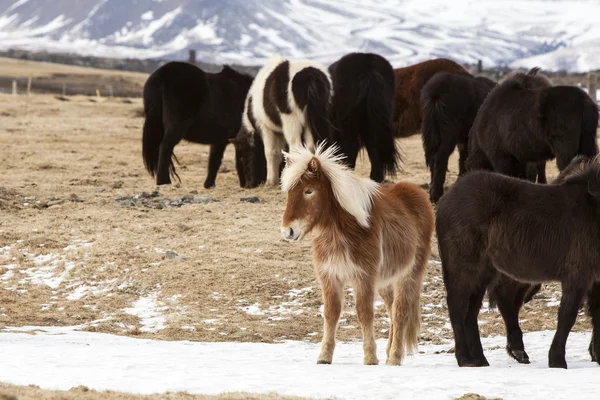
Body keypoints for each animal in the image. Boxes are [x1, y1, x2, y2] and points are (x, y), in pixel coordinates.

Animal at [142, 61, 253, 189]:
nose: (253, 184)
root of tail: (162, 75)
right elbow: (239, 159)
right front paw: (244, 184)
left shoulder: (220, 140)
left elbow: (214, 160)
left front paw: (209, 184)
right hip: (176, 127)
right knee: (165, 147)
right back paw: (164, 181)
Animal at [232, 55, 332, 188]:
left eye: (244, 157)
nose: (247, 185)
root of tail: (308, 75)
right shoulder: (279, 133)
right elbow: (279, 154)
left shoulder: (266, 128)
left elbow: (270, 153)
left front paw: (270, 181)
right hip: (312, 123)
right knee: (312, 147)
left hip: (292, 123)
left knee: (296, 148)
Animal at [278, 144, 434, 366]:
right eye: (289, 193)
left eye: (309, 191)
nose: (287, 231)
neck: (340, 232)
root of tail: (418, 195)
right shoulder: (330, 276)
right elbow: (331, 314)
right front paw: (324, 356)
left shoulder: (363, 277)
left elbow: (364, 314)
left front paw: (370, 357)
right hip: (385, 281)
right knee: (392, 312)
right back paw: (390, 352)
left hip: (409, 275)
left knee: (400, 312)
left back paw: (394, 358)